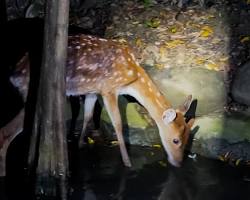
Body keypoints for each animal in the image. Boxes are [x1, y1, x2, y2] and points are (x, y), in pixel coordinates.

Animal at [8, 34, 194, 167]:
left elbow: (88, 115)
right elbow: (118, 123)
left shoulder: (92, 90)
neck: (132, 77)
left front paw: (80, 144)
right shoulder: (108, 89)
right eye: (176, 140)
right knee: (7, 132)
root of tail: (15, 74)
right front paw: (127, 163)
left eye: (188, 137)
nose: (178, 163)